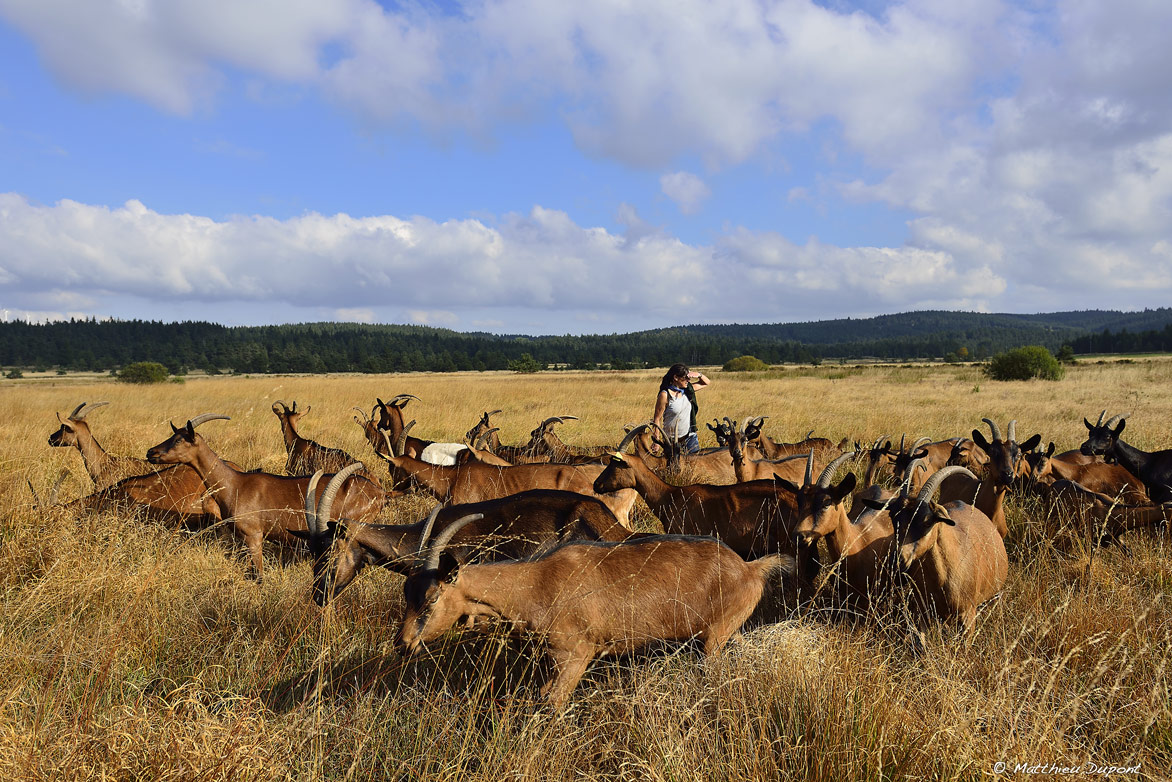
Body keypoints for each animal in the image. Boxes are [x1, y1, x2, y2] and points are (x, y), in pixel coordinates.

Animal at [145, 419, 385, 580]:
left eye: (179, 439)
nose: (151, 452)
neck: (235, 484)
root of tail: (379, 492)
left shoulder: (254, 535)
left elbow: (258, 576)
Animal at [395, 516, 794, 707]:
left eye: (431, 598)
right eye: (406, 592)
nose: (403, 645)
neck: (534, 583)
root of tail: (750, 569)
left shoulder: (576, 655)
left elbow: (553, 703)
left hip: (715, 638)